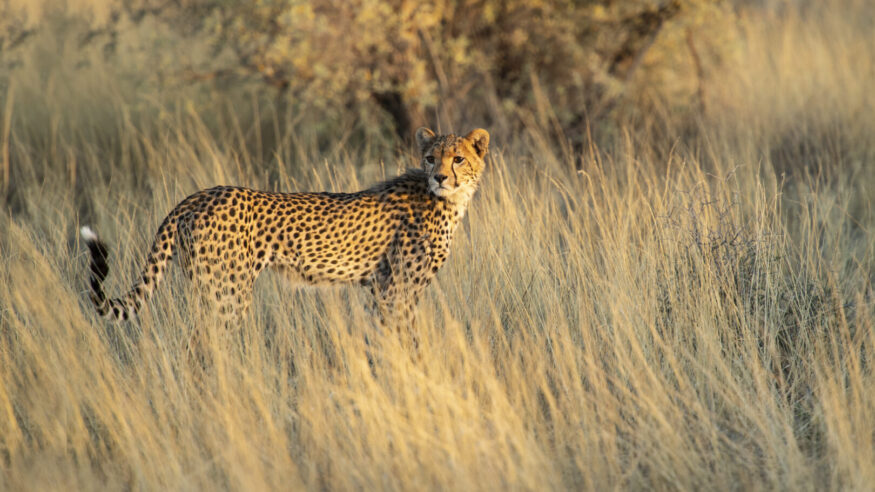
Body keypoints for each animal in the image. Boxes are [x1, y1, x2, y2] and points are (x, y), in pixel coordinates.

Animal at [80, 127, 489, 330]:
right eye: (431, 157)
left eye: (458, 158)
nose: (440, 177)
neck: (447, 201)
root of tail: (197, 196)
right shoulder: (398, 291)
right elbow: (406, 340)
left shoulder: (378, 290)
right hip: (228, 293)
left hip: (207, 288)